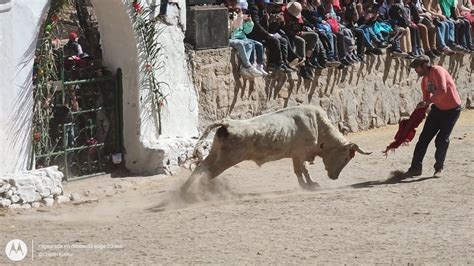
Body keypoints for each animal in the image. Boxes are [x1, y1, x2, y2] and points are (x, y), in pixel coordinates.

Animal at [181, 105, 370, 191]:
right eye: (346, 157)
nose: (334, 177)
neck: (318, 126)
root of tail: (228, 123)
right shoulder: (300, 154)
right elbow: (302, 170)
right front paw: (308, 185)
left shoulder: (297, 155)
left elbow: (302, 170)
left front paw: (309, 184)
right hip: (226, 159)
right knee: (206, 171)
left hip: (215, 153)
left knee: (200, 167)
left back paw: (184, 191)